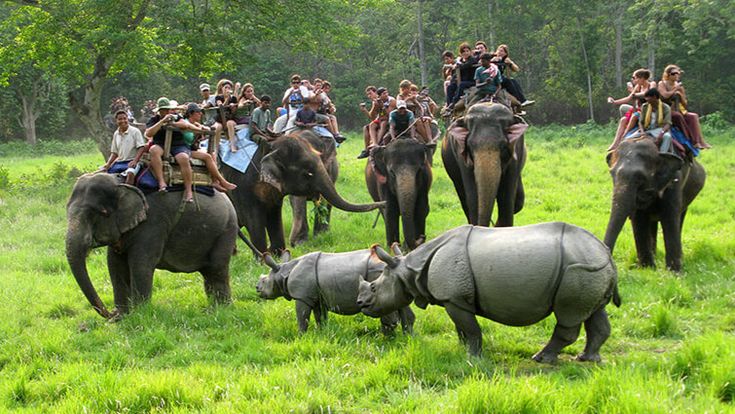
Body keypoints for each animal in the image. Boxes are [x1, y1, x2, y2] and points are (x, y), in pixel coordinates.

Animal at [65, 173, 238, 318]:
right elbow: (115, 265)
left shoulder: (153, 223)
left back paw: (221, 309)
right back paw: (214, 309)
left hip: (226, 230)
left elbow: (141, 264)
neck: (122, 183)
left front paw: (140, 314)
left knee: (216, 269)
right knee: (209, 272)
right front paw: (122, 316)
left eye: (101, 213)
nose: (110, 314)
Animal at [222, 129, 383, 255]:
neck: (269, 147)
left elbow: (275, 215)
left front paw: (278, 254)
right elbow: (253, 218)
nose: (384, 203)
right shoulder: (242, 186)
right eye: (307, 173)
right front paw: (265, 258)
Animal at [256, 249, 415, 334]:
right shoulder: (317, 297)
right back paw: (407, 338)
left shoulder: (302, 297)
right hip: (392, 278)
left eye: (264, 281)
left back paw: (386, 340)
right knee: (399, 304)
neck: (283, 271)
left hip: (377, 273)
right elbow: (320, 317)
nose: (257, 288)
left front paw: (300, 336)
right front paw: (322, 333)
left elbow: (302, 317)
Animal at [357, 223, 620, 362]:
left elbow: (471, 329)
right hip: (590, 269)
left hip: (578, 269)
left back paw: (541, 358)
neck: (409, 270)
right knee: (594, 312)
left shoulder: (454, 298)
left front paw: (473, 358)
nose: (362, 304)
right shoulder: (456, 300)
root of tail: (605, 253)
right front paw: (463, 349)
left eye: (374, 287)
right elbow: (461, 327)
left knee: (568, 316)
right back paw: (586, 359)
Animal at [603, 138, 706, 271]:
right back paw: (654, 256)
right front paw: (647, 269)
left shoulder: (675, 181)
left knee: (679, 217)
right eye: (612, 174)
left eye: (640, 178)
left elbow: (669, 217)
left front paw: (674, 272)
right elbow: (639, 218)